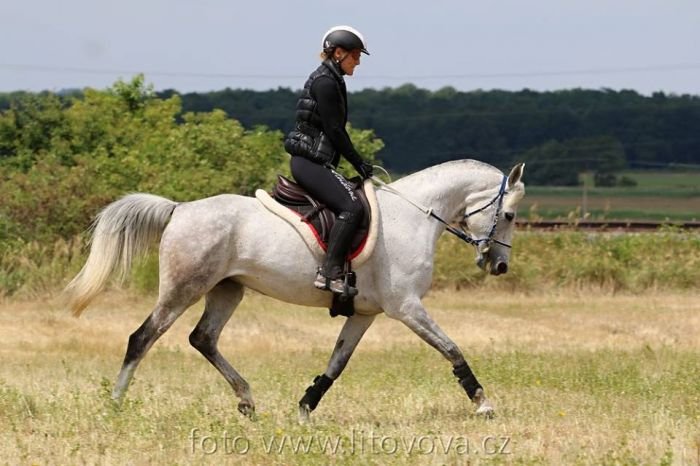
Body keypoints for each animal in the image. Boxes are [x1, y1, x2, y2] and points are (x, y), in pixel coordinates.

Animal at [65, 159, 524, 418]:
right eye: (510, 215)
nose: (499, 266)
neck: (413, 217)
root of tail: (179, 209)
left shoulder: (364, 314)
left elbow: (336, 364)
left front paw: (305, 408)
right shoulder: (407, 307)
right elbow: (451, 349)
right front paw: (483, 403)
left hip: (227, 290)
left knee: (203, 338)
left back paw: (247, 401)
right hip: (184, 288)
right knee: (142, 337)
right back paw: (115, 405)